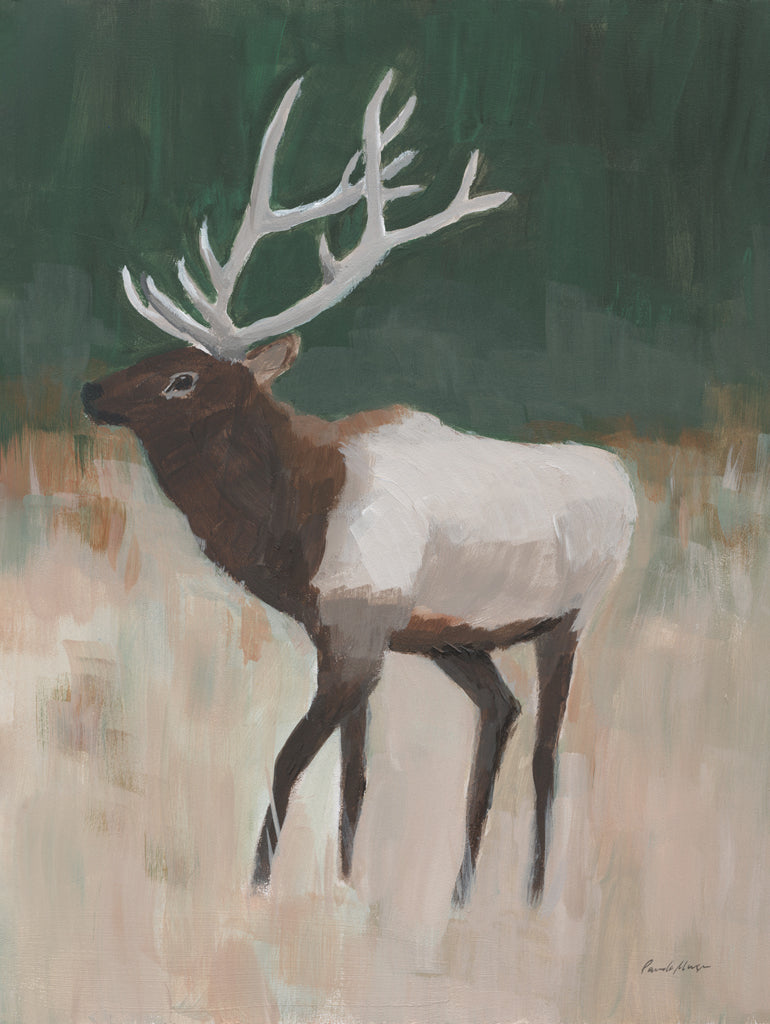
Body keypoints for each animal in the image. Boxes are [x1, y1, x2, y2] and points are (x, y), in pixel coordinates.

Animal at [81, 70, 637, 908]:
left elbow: (289, 763)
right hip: (456, 638)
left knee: (546, 754)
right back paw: (460, 894)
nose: (90, 390)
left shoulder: (357, 632)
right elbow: (354, 779)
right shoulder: (348, 632)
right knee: (500, 713)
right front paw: (345, 888)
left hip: (568, 619)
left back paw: (534, 898)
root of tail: (627, 483)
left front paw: (259, 890)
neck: (291, 527)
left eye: (183, 379)